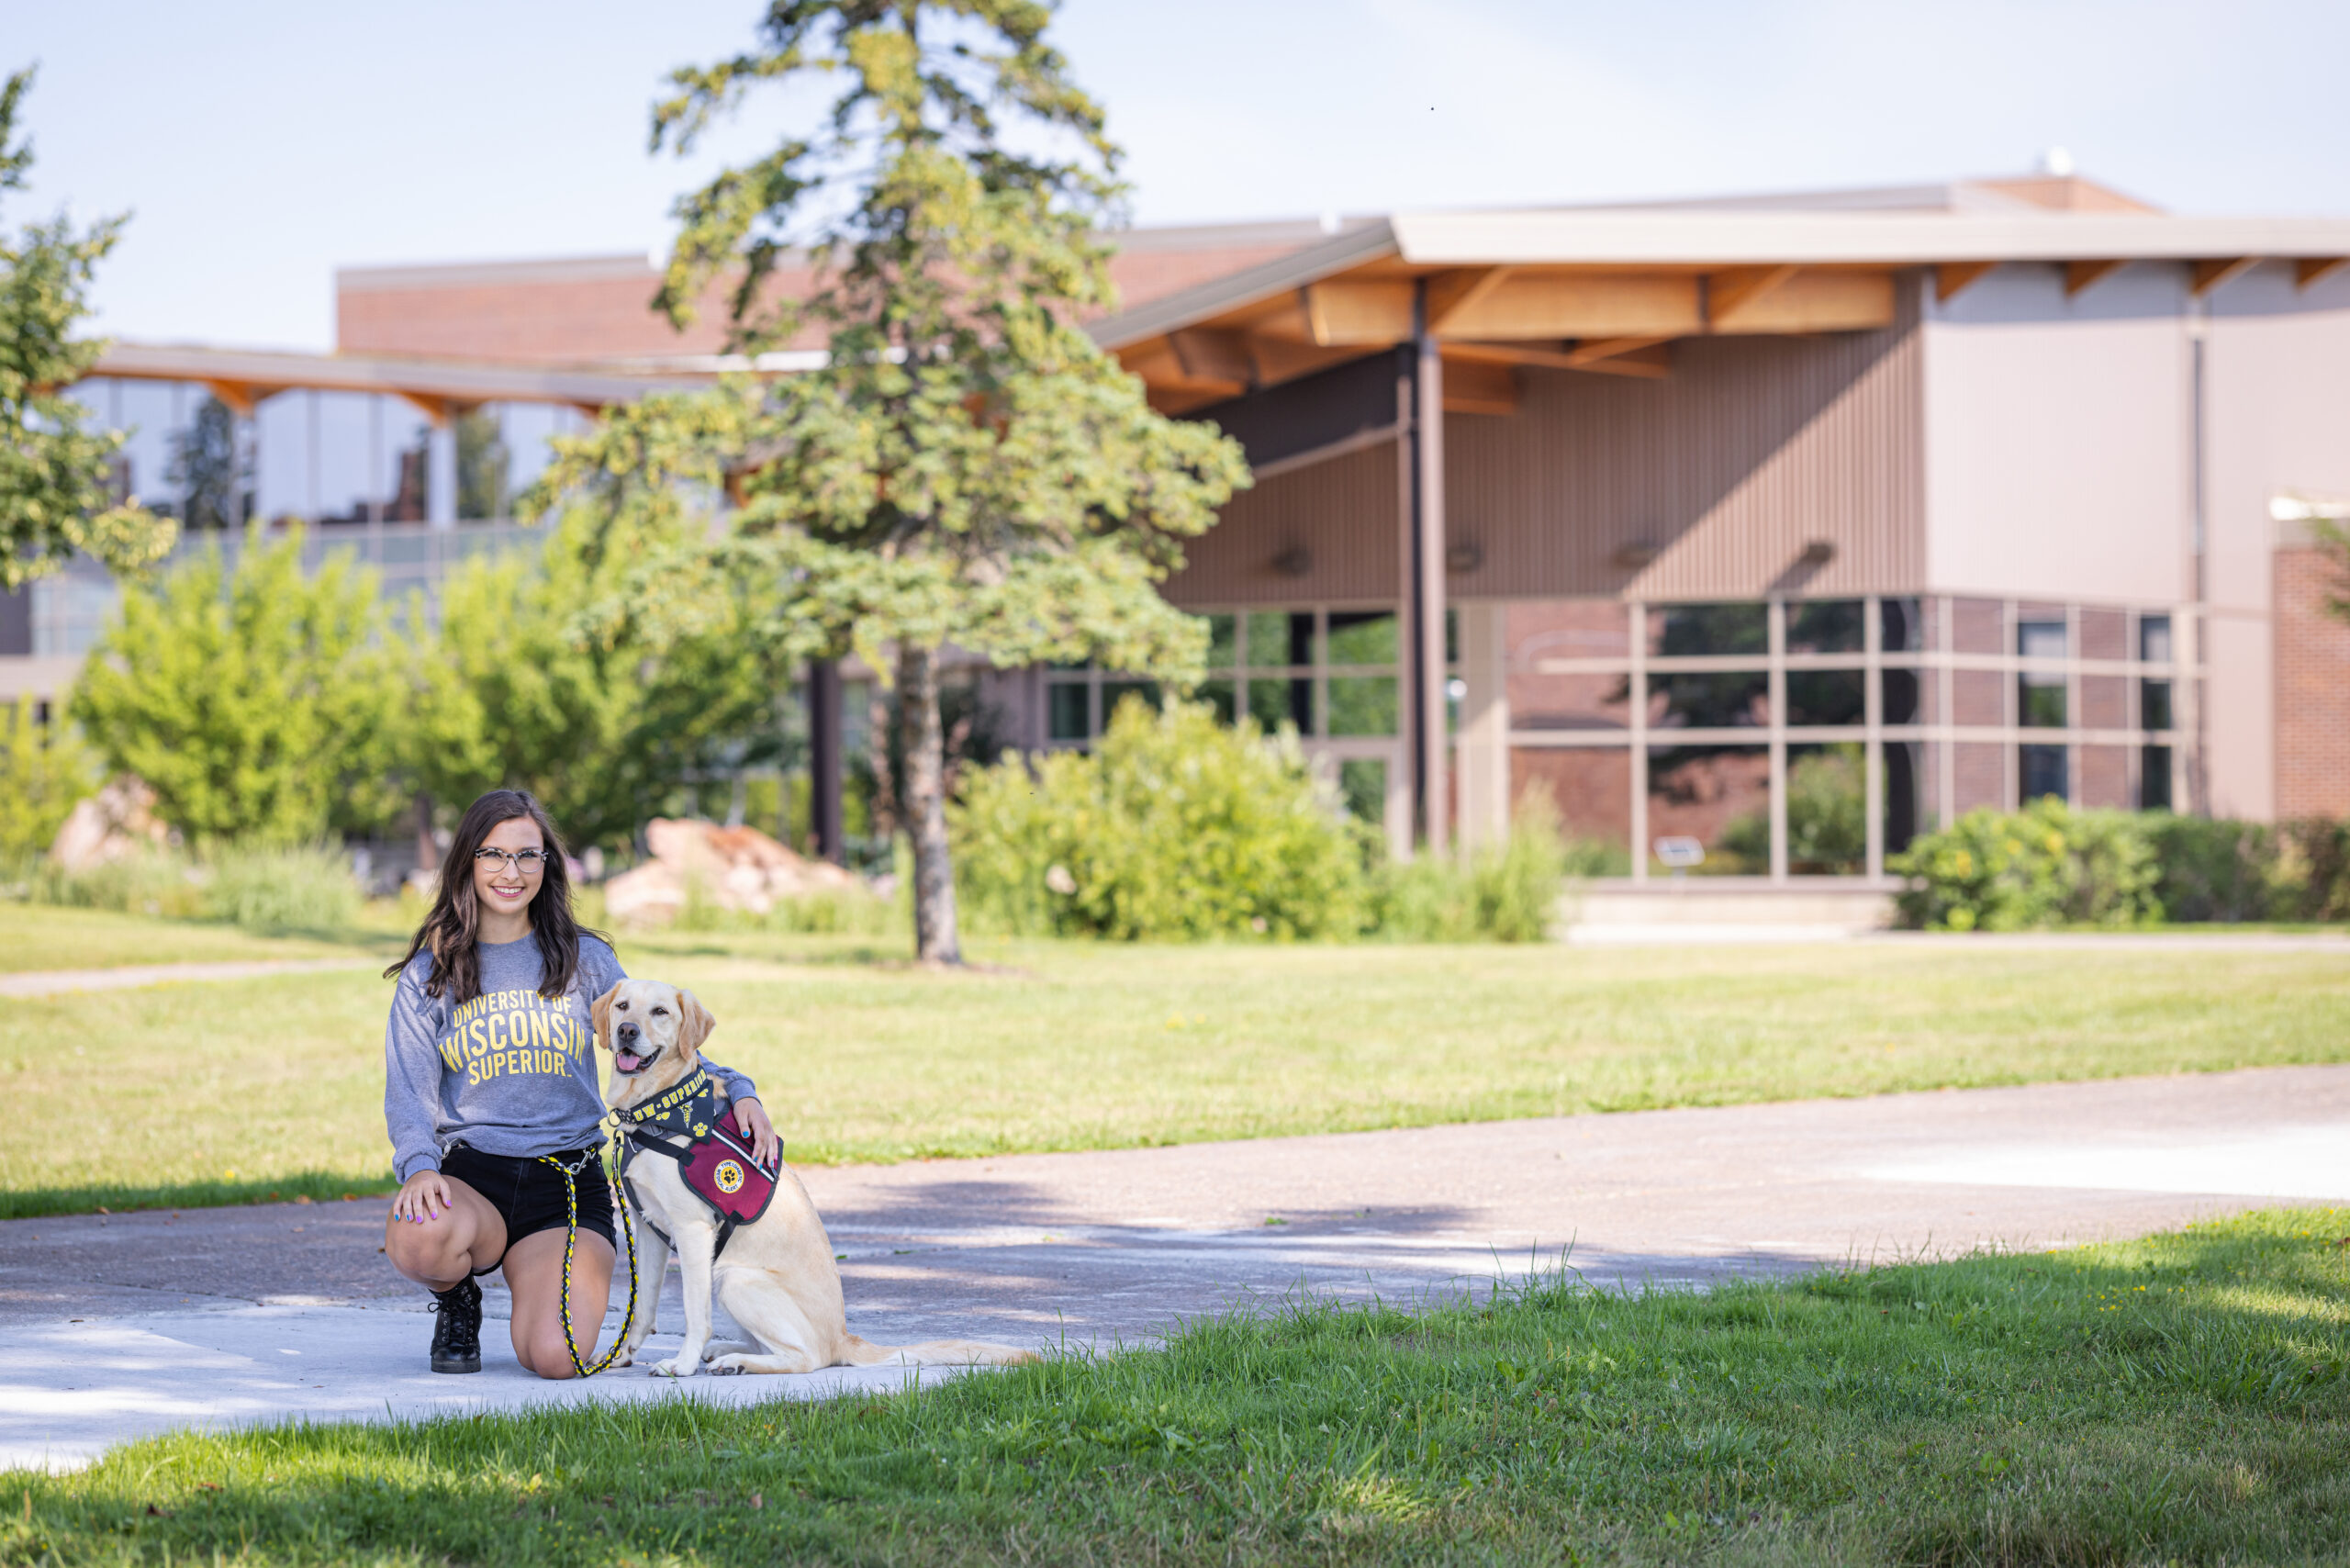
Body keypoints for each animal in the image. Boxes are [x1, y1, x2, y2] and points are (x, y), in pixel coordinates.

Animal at [588, 987, 1038, 1382]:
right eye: (623, 1005)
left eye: (660, 1011)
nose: (626, 1030)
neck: (658, 1110)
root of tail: (844, 1338)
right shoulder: (649, 1229)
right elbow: (642, 1307)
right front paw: (621, 1354)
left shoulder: (692, 1231)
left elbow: (694, 1313)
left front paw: (680, 1365)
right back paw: (727, 1353)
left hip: (733, 1278)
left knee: (806, 1358)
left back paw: (734, 1361)